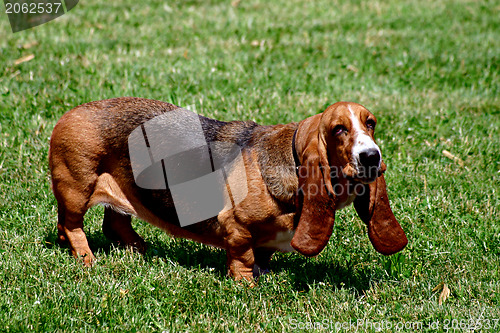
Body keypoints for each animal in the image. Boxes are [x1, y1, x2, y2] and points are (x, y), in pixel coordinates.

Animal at [49, 97, 406, 278]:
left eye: (370, 123)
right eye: (338, 129)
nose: (372, 157)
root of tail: (70, 113)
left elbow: (263, 254)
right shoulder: (236, 227)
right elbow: (244, 256)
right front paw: (247, 284)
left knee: (116, 220)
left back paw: (139, 249)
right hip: (76, 188)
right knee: (71, 226)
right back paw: (86, 258)